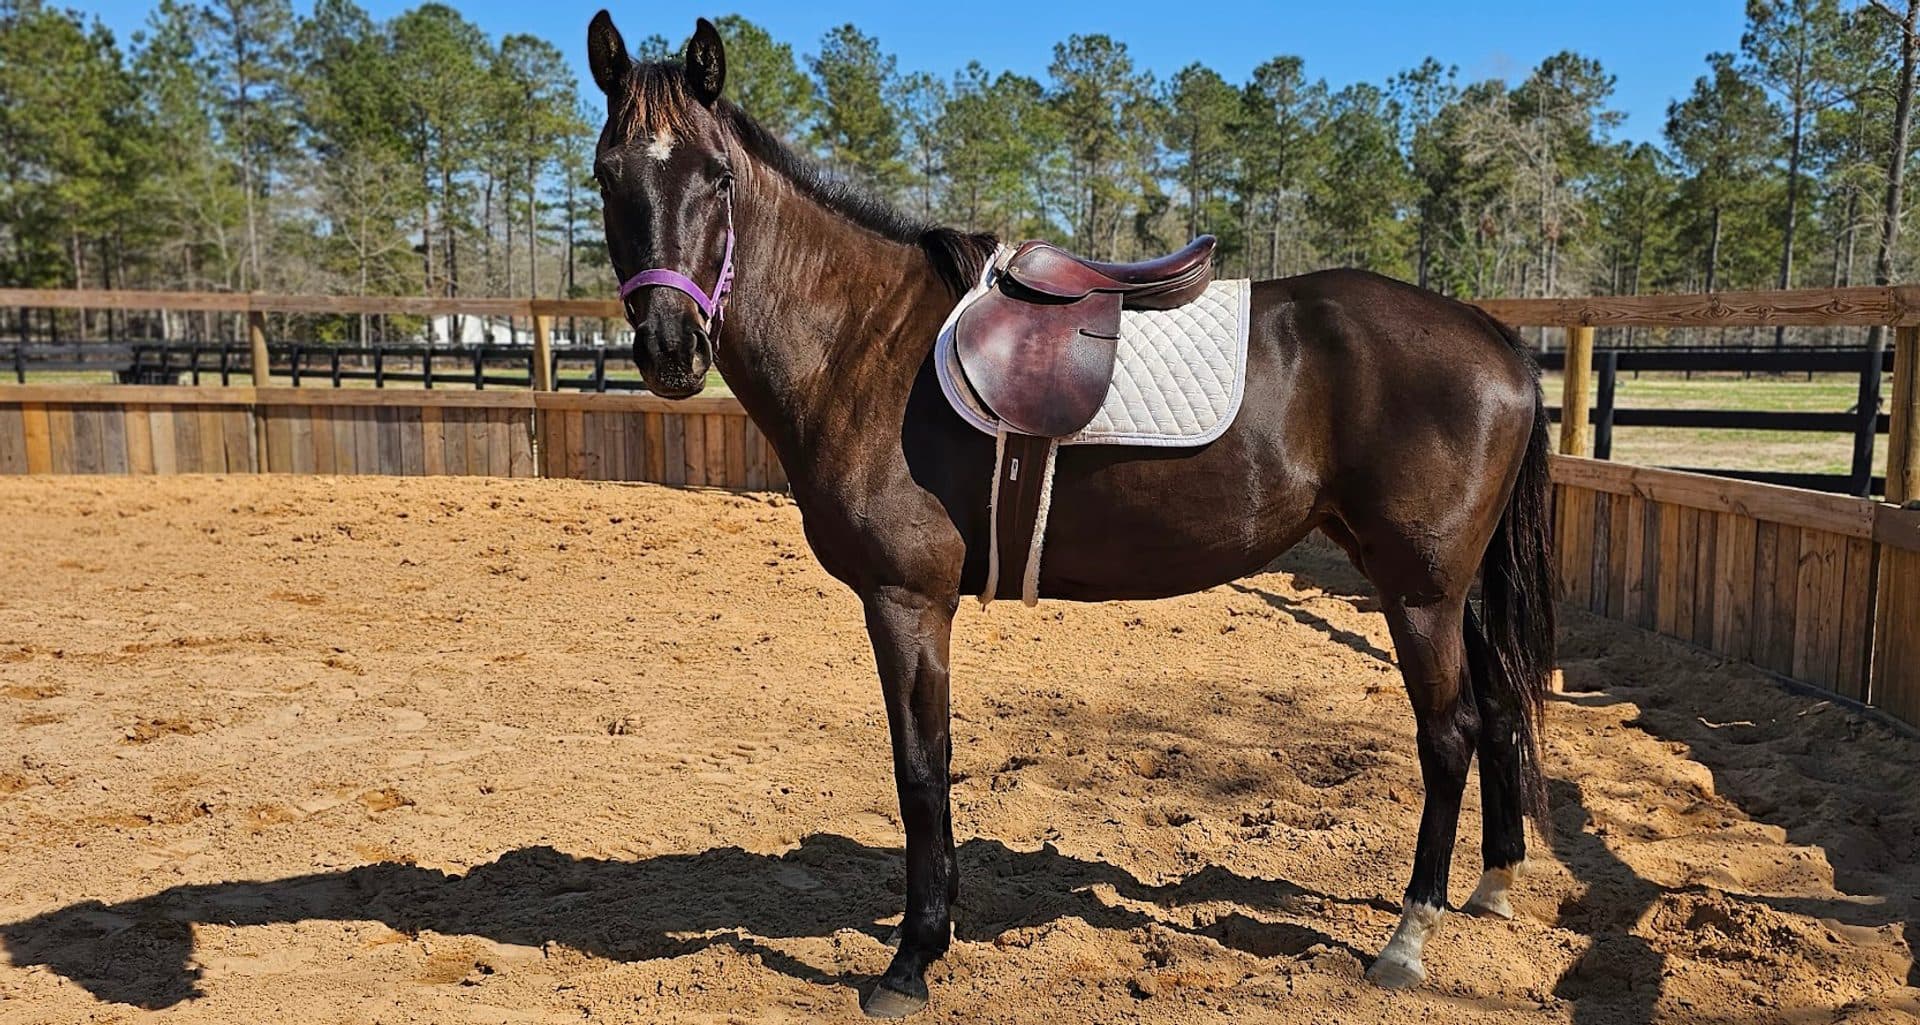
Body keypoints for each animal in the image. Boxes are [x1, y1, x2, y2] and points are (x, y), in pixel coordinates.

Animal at [585, 14, 1556, 1017]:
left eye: (717, 176)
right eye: (608, 174)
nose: (669, 347)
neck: (866, 339)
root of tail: (1498, 338)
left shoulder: (906, 600)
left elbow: (920, 770)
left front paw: (912, 957)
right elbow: (932, 766)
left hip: (1419, 593)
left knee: (1449, 735)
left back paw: (1407, 938)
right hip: (1452, 591)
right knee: (1497, 710)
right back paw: (1490, 884)